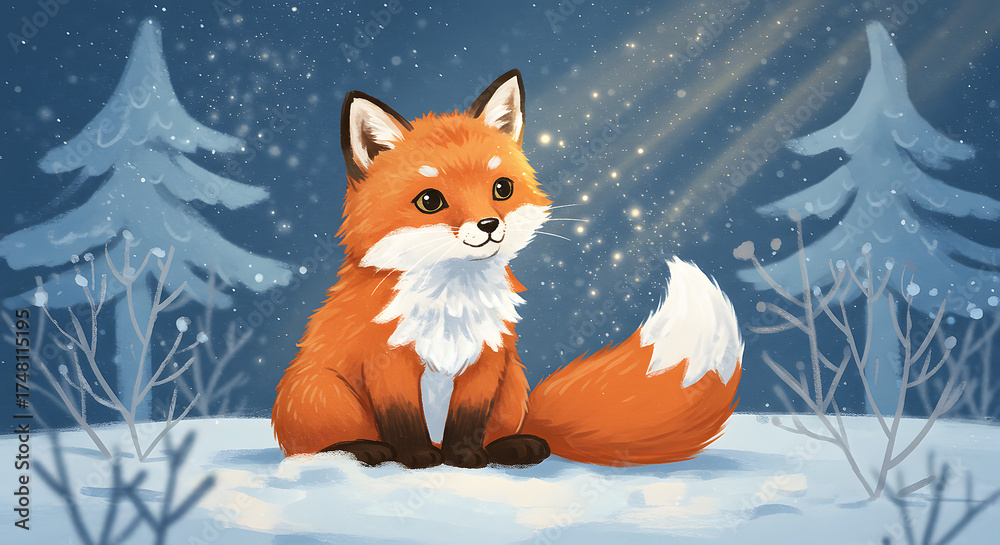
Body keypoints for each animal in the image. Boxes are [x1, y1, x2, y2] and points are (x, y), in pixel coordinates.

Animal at [272, 69, 743, 469]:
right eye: (430, 200)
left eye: (502, 188)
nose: (488, 225)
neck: (451, 300)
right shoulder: (387, 361)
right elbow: (404, 421)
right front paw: (419, 457)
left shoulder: (488, 358)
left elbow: (468, 420)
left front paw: (464, 457)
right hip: (322, 391)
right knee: (311, 447)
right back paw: (366, 449)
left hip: (514, 387)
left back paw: (514, 446)